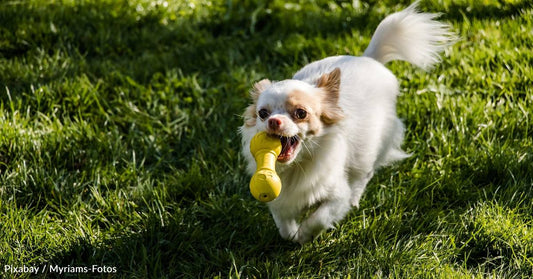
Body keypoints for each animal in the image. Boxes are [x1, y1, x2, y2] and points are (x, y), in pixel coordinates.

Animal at [241, 1, 454, 244]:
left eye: (301, 113)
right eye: (263, 113)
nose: (274, 121)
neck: (297, 166)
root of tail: (368, 58)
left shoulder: (336, 196)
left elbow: (319, 218)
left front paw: (305, 235)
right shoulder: (280, 200)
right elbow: (284, 227)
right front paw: (294, 235)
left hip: (371, 150)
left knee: (363, 175)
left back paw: (355, 198)